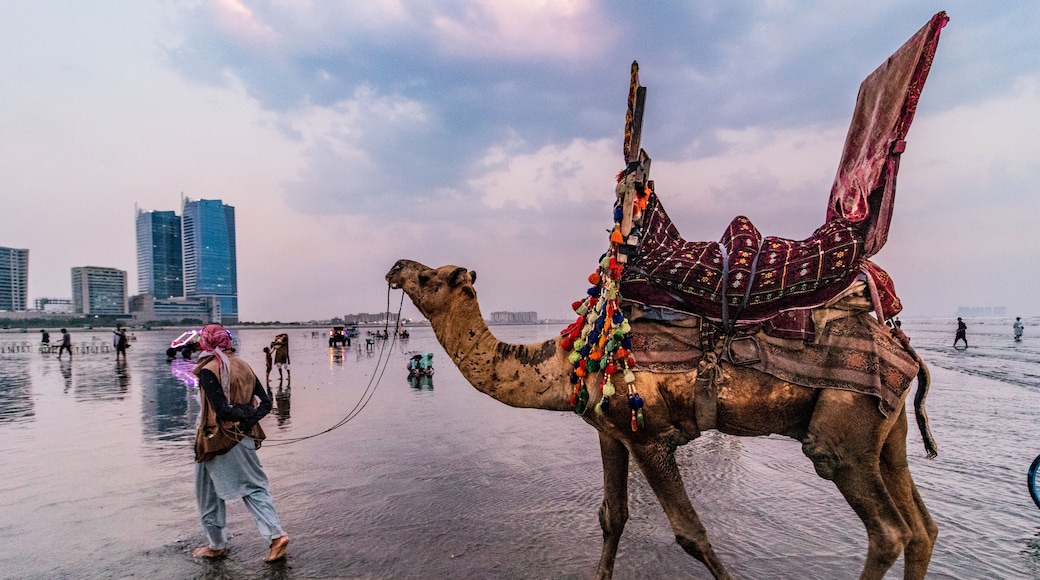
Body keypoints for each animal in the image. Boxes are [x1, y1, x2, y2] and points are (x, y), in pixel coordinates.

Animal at [387, 258, 938, 580]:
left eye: (428, 277)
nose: (395, 266)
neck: (567, 361)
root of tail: (902, 346)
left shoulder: (650, 436)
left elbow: (691, 533)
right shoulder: (611, 433)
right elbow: (612, 517)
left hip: (842, 434)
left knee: (888, 531)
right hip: (886, 433)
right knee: (921, 528)